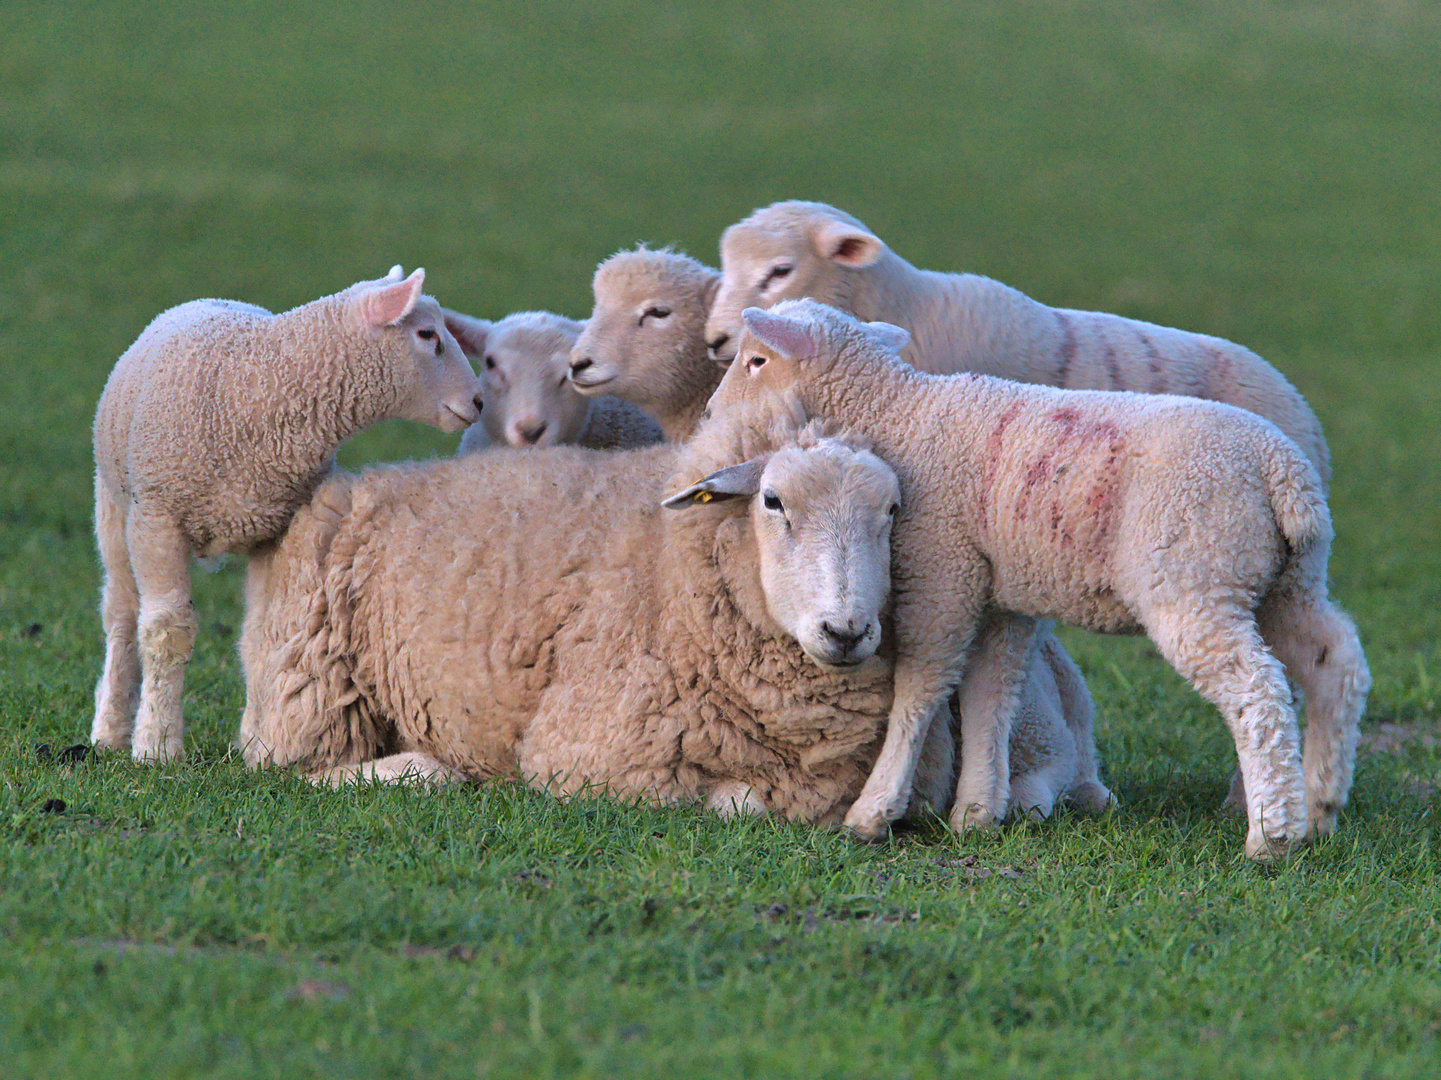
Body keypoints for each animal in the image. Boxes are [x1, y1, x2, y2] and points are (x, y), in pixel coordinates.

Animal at [91, 265, 484, 761]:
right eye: (427, 334)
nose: (478, 402)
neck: (263, 384)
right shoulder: (157, 520)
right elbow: (166, 631)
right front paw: (157, 745)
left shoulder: (276, 529)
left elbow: (263, 633)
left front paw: (257, 745)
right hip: (114, 504)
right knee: (121, 615)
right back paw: (109, 729)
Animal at [567, 243, 1106, 819]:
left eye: (757, 360)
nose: (710, 414)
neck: (898, 406)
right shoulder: (999, 593)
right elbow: (995, 683)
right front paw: (976, 807)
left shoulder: (943, 571)